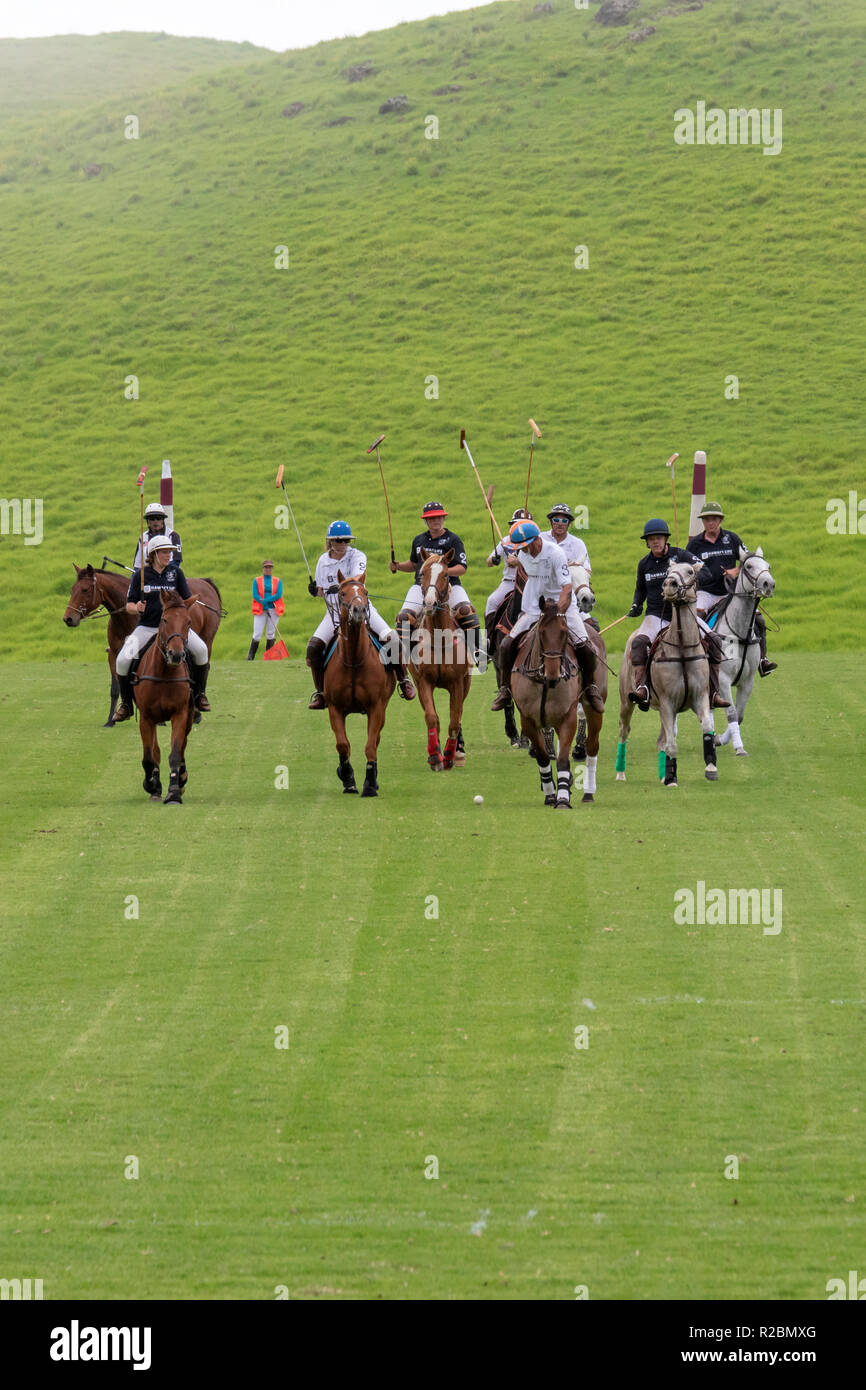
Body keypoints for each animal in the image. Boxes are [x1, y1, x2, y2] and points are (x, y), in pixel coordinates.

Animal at [66, 564, 225, 728]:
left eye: (85, 590)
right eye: (72, 589)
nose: (68, 618)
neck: (125, 618)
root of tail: (205, 582)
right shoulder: (114, 653)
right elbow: (116, 687)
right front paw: (112, 719)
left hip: (206, 640)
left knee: (204, 667)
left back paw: (198, 709)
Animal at [132, 586, 197, 806]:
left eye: (188, 621)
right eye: (165, 620)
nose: (175, 654)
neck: (164, 673)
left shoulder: (180, 714)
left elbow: (176, 753)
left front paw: (174, 792)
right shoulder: (146, 717)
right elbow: (148, 757)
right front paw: (151, 785)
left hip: (189, 716)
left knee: (183, 746)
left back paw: (182, 778)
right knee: (155, 752)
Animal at [323, 572, 397, 795]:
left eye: (365, 591)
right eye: (342, 592)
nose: (359, 610)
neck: (354, 658)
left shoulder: (376, 706)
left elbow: (370, 745)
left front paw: (370, 784)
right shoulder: (335, 707)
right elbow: (342, 744)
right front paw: (347, 778)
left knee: (377, 737)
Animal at [408, 550, 475, 772]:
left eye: (446, 574)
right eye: (422, 573)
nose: (430, 602)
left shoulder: (457, 683)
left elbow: (454, 721)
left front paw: (449, 755)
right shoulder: (424, 682)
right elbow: (432, 718)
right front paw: (435, 756)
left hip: (466, 683)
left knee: (458, 716)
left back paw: (458, 751)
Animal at [711, 544, 778, 761]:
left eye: (768, 565)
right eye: (748, 566)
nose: (768, 584)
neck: (740, 633)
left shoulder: (747, 681)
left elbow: (739, 715)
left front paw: (721, 740)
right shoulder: (723, 679)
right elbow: (731, 713)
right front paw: (738, 747)